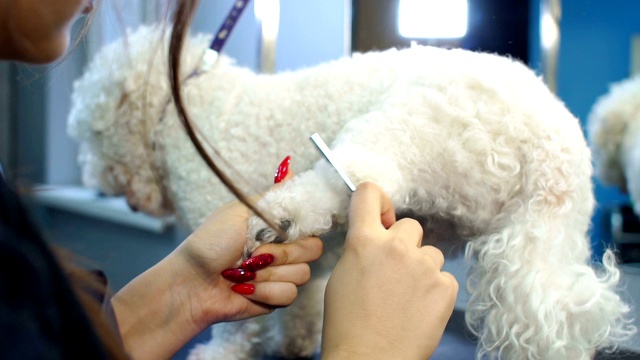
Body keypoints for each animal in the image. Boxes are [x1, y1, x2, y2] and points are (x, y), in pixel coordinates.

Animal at [67, 26, 632, 360]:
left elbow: (234, 327)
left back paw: (285, 213)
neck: (191, 102)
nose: (103, 185)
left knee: (358, 174)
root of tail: (549, 144)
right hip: (541, 232)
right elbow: (301, 300)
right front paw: (297, 342)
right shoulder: (314, 263)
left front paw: (219, 355)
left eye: (93, 134)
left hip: (410, 125)